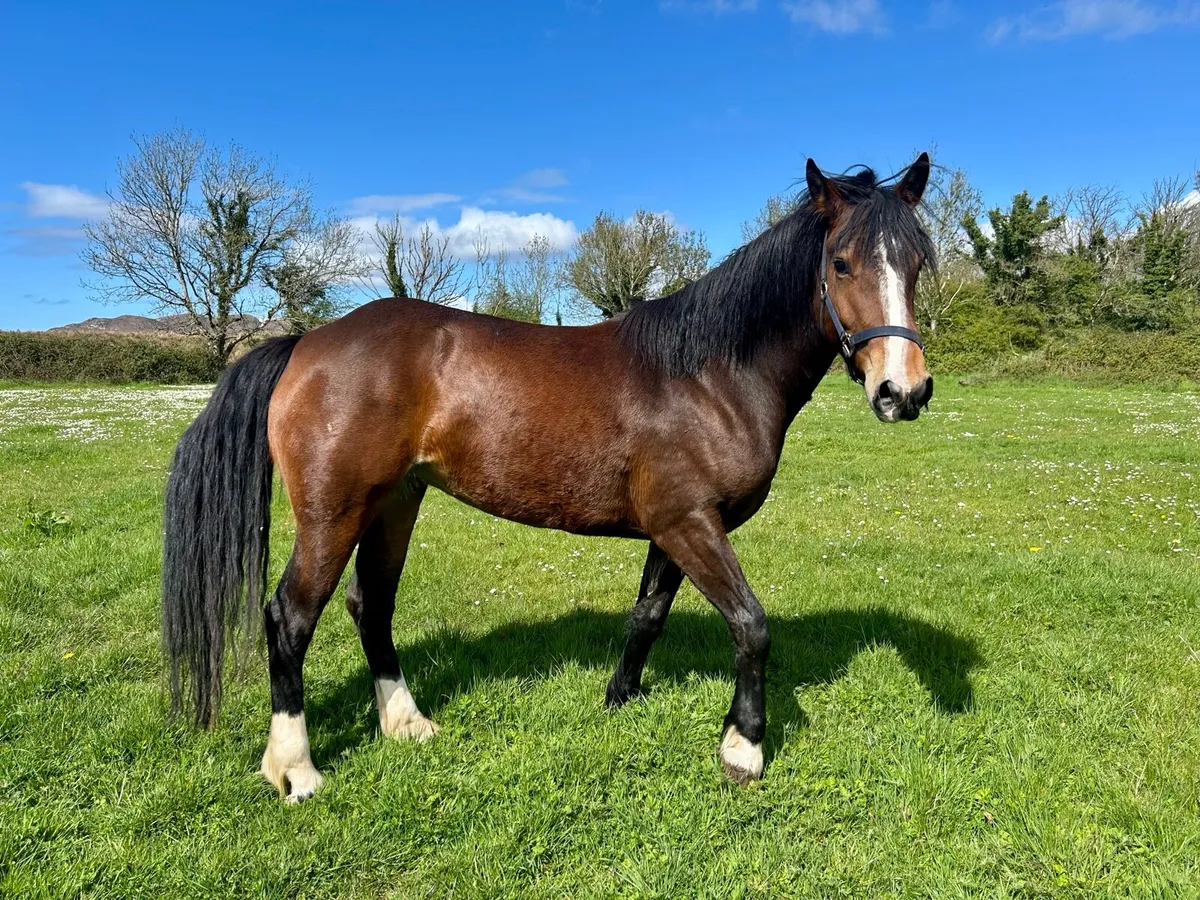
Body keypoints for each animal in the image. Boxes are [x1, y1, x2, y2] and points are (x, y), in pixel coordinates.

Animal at [162, 154, 935, 802]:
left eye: (918, 263)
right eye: (841, 263)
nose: (904, 391)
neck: (708, 375)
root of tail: (306, 344)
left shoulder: (673, 526)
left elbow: (647, 616)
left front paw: (620, 698)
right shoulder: (689, 523)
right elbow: (751, 624)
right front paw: (743, 747)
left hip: (395, 504)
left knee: (370, 606)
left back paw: (407, 724)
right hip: (334, 513)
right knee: (290, 618)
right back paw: (295, 768)